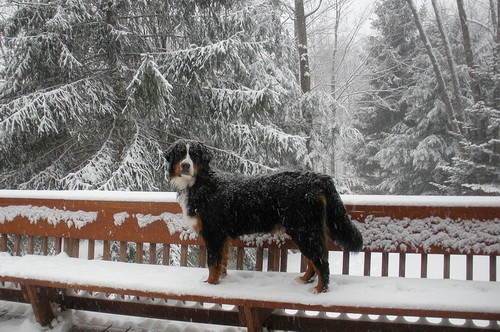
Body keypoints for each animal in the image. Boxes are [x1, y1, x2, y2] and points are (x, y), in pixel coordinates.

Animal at [165, 139, 364, 294]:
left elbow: (213, 263)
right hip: (306, 230)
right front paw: (220, 280)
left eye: (194, 155)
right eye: (181, 154)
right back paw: (305, 279)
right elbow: (222, 262)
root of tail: (318, 178)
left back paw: (319, 290)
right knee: (314, 259)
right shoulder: (222, 236)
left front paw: (211, 285)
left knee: (321, 260)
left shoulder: (213, 232)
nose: (185, 165)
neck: (201, 183)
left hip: (303, 229)